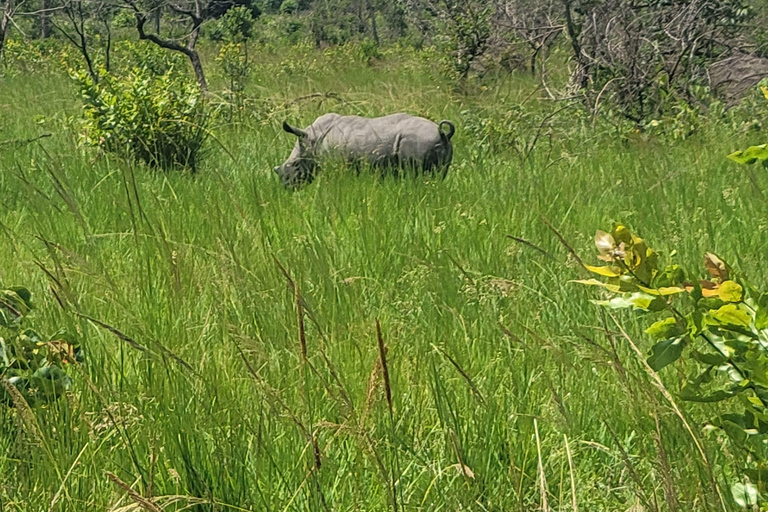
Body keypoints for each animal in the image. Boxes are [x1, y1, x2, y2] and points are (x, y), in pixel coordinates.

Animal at [274, 113, 455, 187]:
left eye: (295, 164)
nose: (287, 186)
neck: (311, 140)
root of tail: (443, 134)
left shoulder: (336, 164)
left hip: (418, 140)